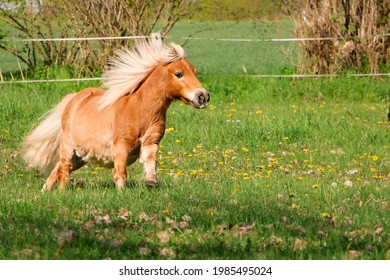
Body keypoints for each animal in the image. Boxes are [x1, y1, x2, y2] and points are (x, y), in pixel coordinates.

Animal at [21, 37, 210, 190]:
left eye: (194, 72)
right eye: (179, 74)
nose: (203, 97)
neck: (140, 110)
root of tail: (74, 99)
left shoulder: (151, 142)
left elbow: (151, 166)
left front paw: (150, 182)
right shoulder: (121, 146)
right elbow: (120, 174)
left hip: (80, 157)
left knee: (56, 169)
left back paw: (45, 192)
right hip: (68, 147)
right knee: (64, 171)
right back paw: (60, 193)